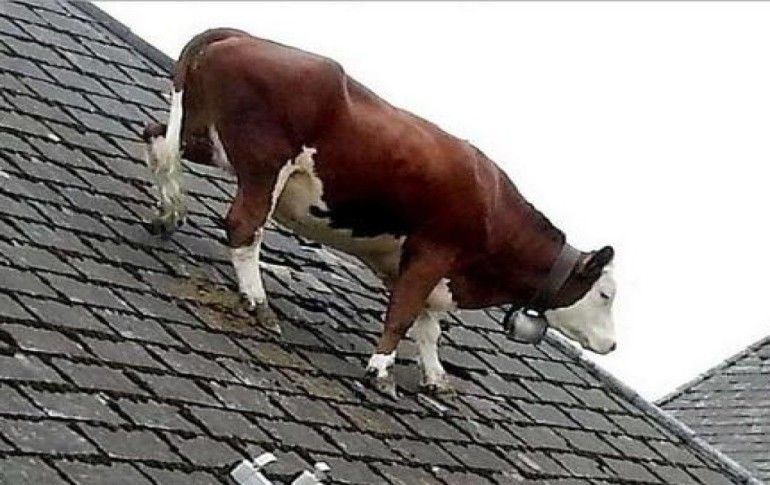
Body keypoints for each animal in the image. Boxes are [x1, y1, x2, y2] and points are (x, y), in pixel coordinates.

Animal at [142, 28, 617, 397]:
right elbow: (404, 315)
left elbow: (427, 324)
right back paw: (258, 303)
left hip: (203, 134)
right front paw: (381, 370)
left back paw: (169, 212)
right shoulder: (435, 251)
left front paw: (435, 378)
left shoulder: (417, 265)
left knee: (157, 143)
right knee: (244, 227)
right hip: (264, 163)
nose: (612, 345)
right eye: (606, 294)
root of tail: (240, 35)